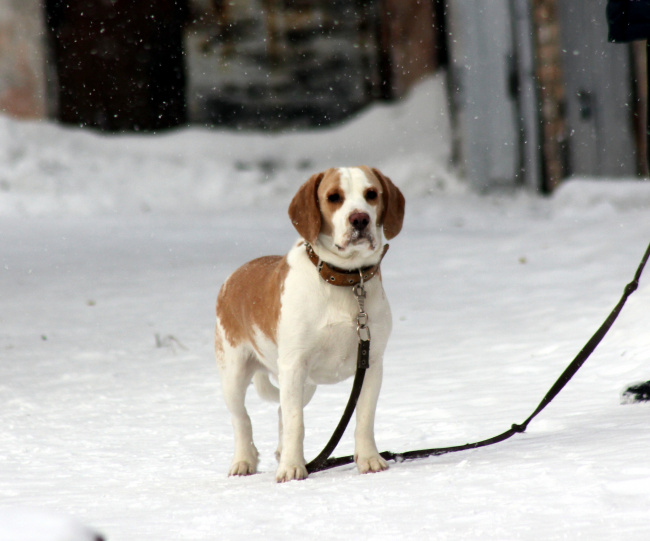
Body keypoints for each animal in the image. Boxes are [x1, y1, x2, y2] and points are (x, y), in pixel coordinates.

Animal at [215, 166, 402, 480]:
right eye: (334, 197)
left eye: (371, 194)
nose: (360, 219)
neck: (344, 280)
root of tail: (232, 278)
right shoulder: (294, 364)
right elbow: (295, 422)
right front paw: (292, 468)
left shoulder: (371, 363)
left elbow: (363, 417)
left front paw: (368, 459)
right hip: (234, 374)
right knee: (242, 420)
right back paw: (244, 460)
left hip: (305, 385)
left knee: (279, 411)